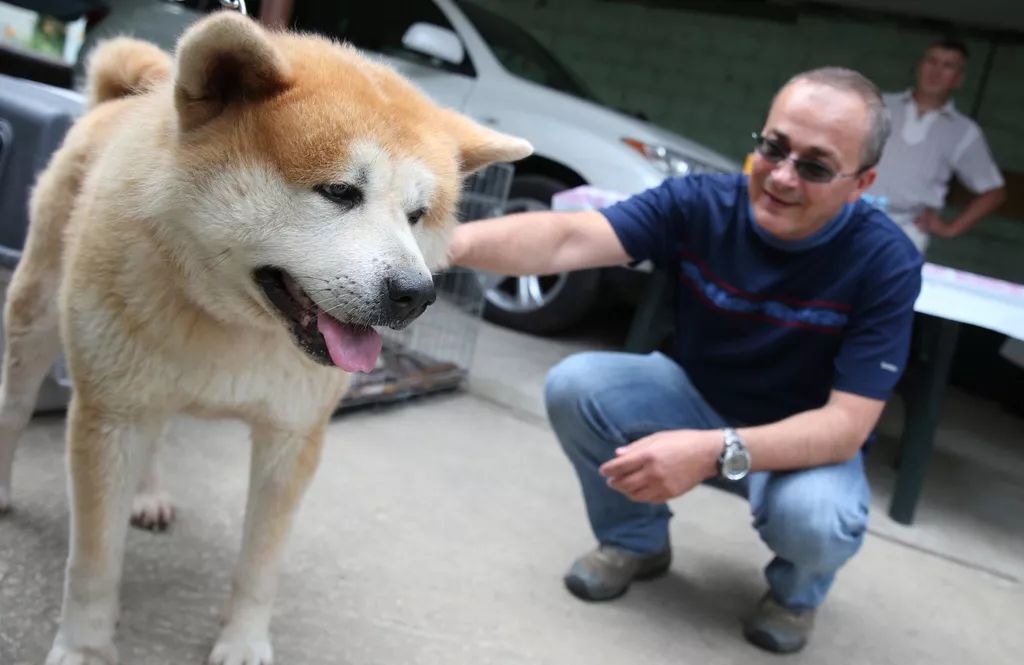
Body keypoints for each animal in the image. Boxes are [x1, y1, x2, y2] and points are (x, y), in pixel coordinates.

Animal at [0, 11, 528, 663]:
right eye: (339, 192)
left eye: (417, 215)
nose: (415, 293)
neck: (237, 322)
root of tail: (115, 103)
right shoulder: (111, 416)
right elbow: (94, 566)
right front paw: (84, 649)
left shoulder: (292, 436)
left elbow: (260, 564)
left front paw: (244, 640)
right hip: (38, 319)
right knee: (16, 407)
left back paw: (146, 494)